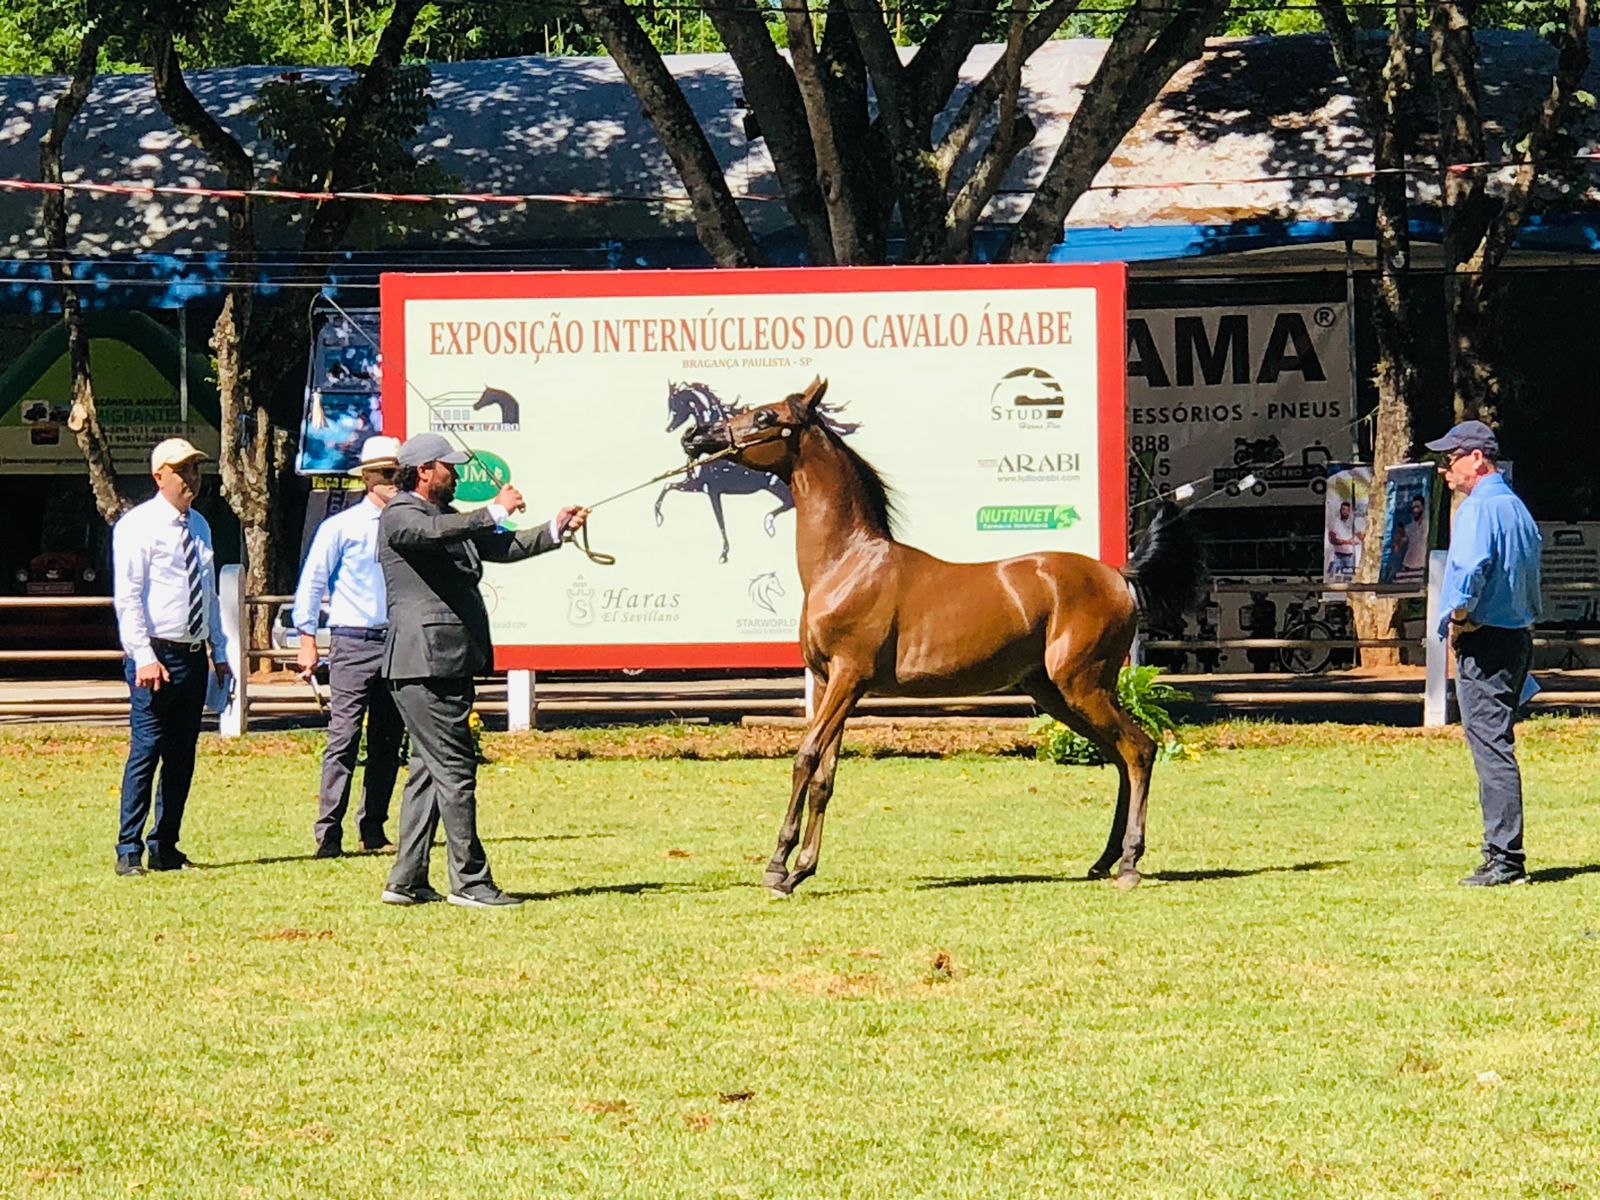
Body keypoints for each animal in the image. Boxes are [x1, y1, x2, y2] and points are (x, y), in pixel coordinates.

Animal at [656, 382, 795, 563]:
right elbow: (667, 485)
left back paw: (769, 524)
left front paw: (724, 554)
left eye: (675, 405)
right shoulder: (696, 484)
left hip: (778, 487)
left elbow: (720, 520)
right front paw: (658, 517)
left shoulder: (711, 490)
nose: (669, 428)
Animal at [681, 377, 1207, 896]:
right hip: (1058, 693)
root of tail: (1118, 575)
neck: (847, 563)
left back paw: (1130, 864)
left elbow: (806, 758)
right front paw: (800, 870)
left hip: (1083, 685)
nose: (696, 437)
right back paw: (1104, 860)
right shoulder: (832, 683)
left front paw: (777, 868)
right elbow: (825, 776)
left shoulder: (849, 678)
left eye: (766, 416)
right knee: (1120, 757)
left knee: (1139, 751)